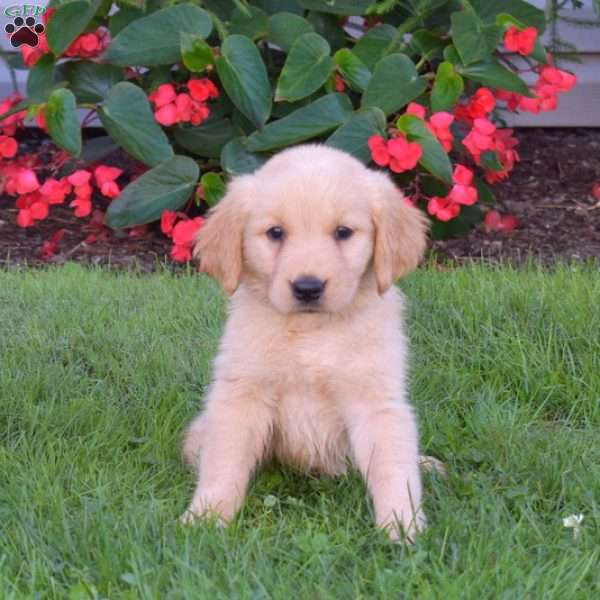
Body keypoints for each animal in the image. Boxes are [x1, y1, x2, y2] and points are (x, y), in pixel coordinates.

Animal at [180, 144, 428, 540]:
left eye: (343, 232)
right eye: (275, 232)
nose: (308, 287)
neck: (312, 332)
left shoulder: (377, 400)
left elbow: (394, 467)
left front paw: (402, 524)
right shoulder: (242, 395)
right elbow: (224, 461)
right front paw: (206, 515)